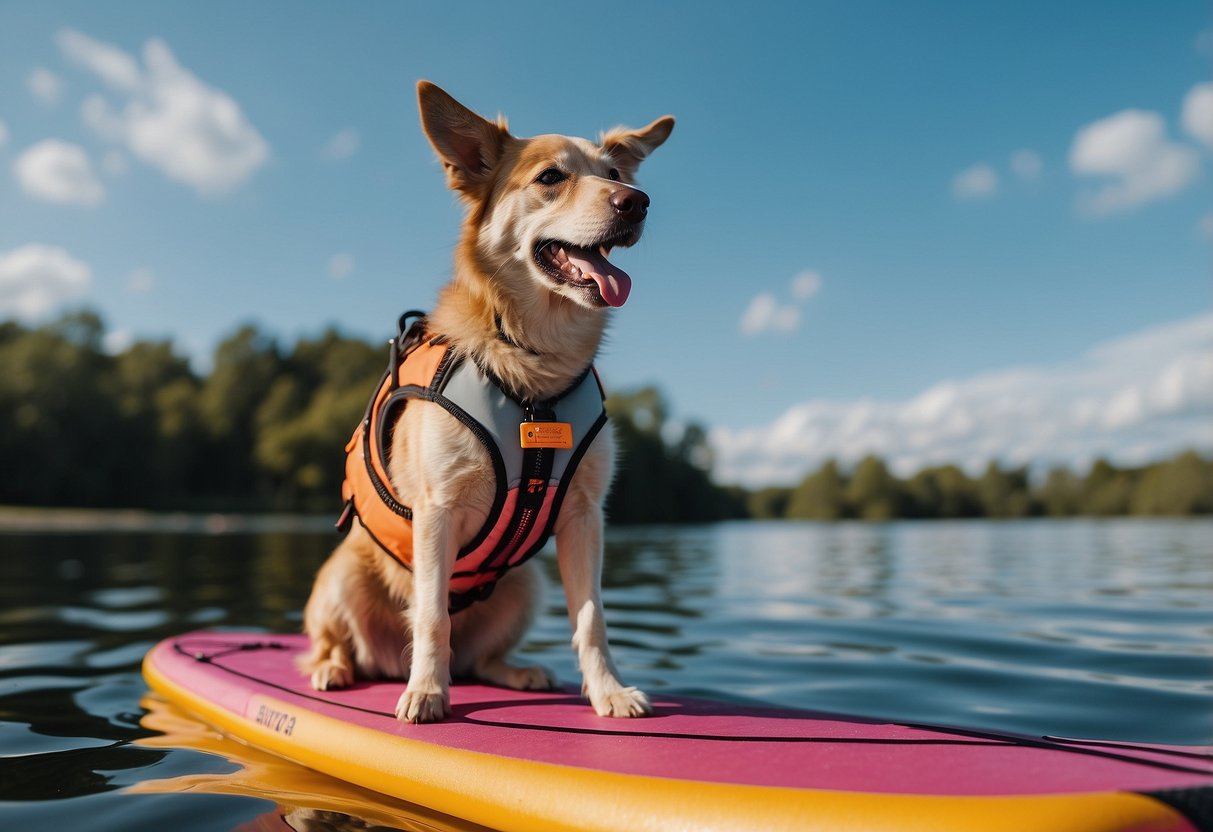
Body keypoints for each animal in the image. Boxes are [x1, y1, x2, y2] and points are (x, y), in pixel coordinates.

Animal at [294, 81, 674, 727]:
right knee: (337, 642)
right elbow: (430, 615)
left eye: (615, 173)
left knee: (478, 659)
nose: (638, 202)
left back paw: (516, 672)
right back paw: (337, 668)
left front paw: (609, 691)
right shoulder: (438, 511)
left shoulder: (584, 517)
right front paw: (426, 693)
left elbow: (592, 618)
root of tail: (381, 664)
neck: (535, 371)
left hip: (526, 584)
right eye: (551, 177)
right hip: (340, 575)